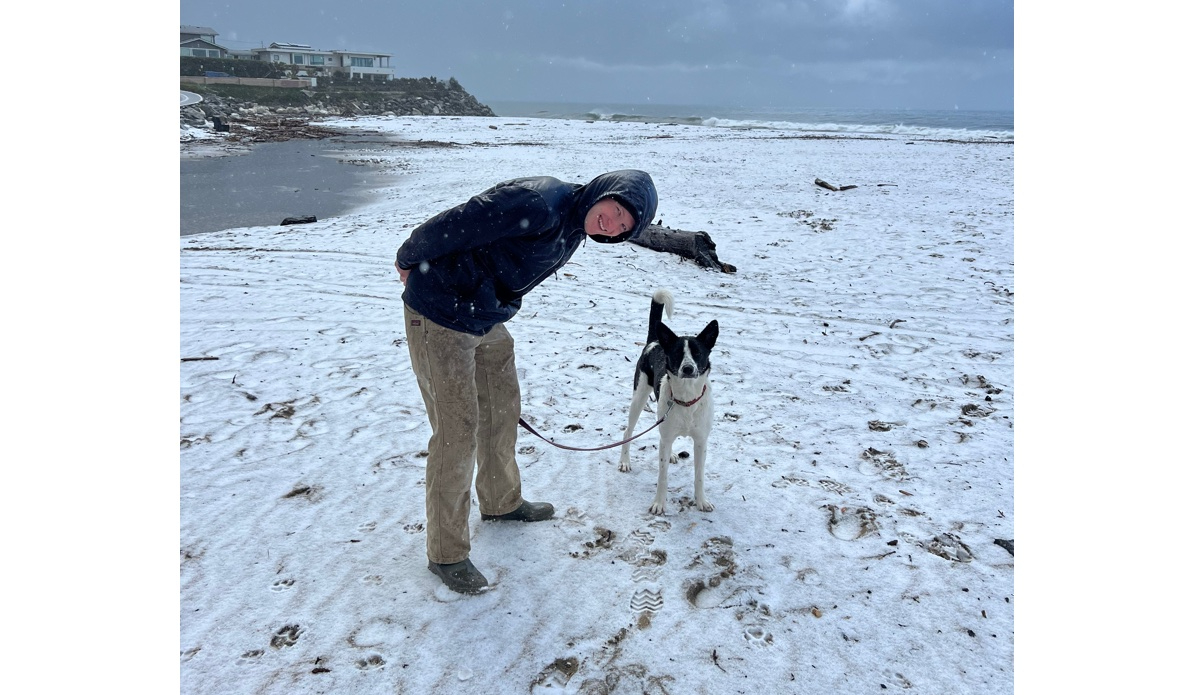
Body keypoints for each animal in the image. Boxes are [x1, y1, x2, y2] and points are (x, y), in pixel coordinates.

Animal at [624, 289, 715, 516]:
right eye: (676, 354)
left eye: (698, 353)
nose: (688, 369)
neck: (686, 400)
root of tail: (656, 341)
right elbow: (662, 477)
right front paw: (659, 504)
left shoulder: (701, 441)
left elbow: (699, 476)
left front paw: (701, 501)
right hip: (638, 397)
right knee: (627, 432)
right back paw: (624, 461)